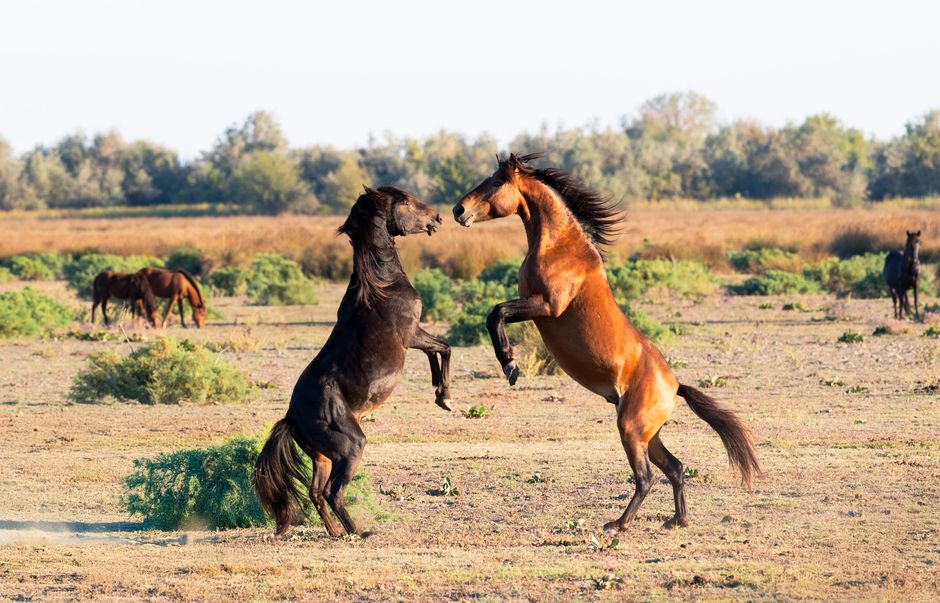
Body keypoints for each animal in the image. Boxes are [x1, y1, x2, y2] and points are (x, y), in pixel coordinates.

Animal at [254, 185, 451, 538]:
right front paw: (445, 397)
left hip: (322, 457)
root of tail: (292, 417)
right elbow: (444, 347)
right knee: (332, 492)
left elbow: (437, 351)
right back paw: (357, 532)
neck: (382, 285)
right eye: (405, 201)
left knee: (316, 492)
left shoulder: (416, 337)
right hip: (351, 448)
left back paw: (335, 532)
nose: (437, 218)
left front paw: (439, 393)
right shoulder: (412, 335)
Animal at [452, 153, 760, 534]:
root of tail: (675, 386)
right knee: (674, 467)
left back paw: (618, 524)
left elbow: (496, 313)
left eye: (495, 183)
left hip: (630, 429)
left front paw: (510, 365)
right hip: (648, 434)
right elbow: (495, 314)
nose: (458, 210)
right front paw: (509, 364)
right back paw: (677, 520)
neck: (561, 248)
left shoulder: (546, 306)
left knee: (646, 478)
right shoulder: (535, 306)